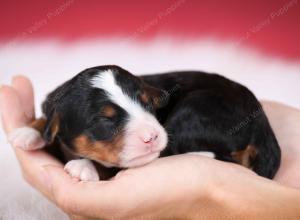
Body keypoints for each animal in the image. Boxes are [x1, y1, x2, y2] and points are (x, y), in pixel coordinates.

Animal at [8, 65, 282, 180]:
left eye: (148, 105)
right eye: (105, 120)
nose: (152, 136)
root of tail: (261, 122)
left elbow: (111, 167)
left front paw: (84, 166)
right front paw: (28, 132)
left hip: (193, 112)